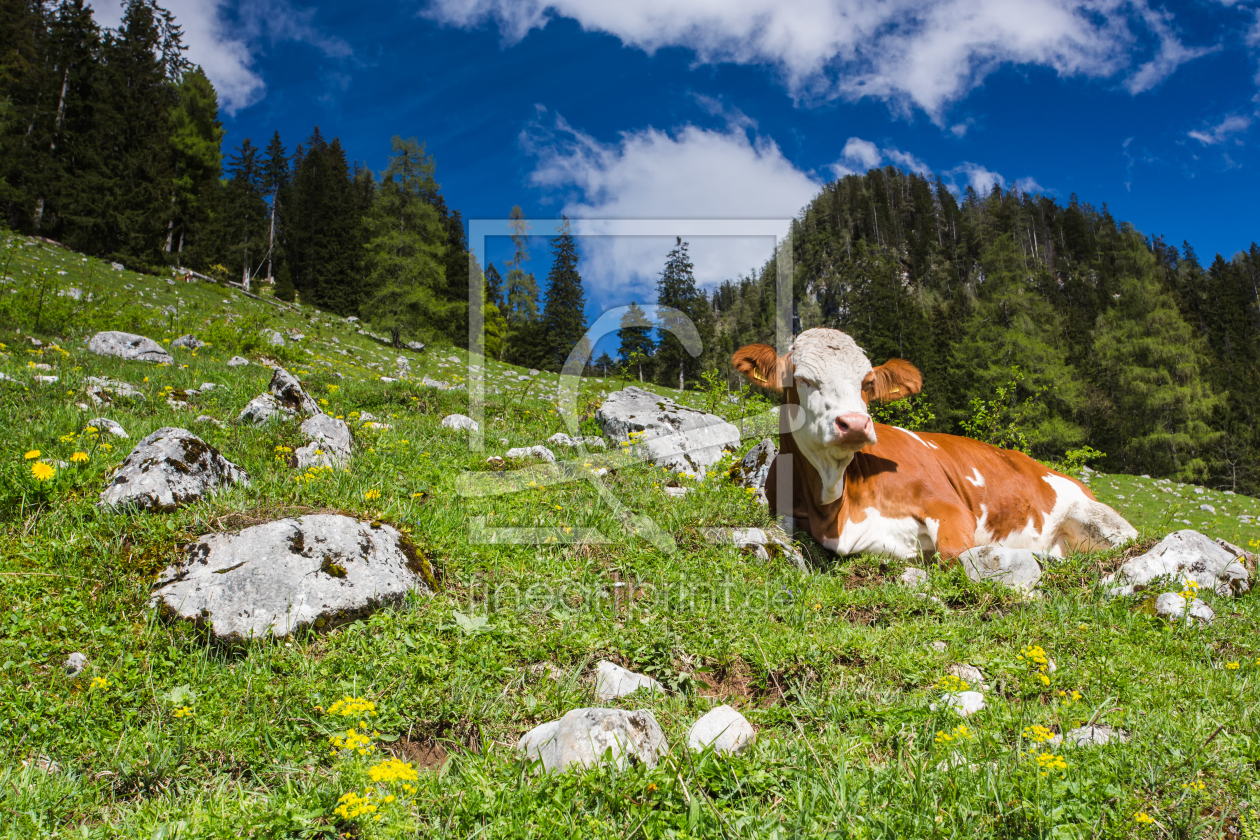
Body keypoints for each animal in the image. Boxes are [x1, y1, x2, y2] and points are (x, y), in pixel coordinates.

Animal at [735, 332, 1139, 561]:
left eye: (867, 383)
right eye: (802, 379)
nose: (854, 424)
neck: (838, 506)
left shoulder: (950, 506)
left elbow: (955, 553)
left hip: (1096, 517)